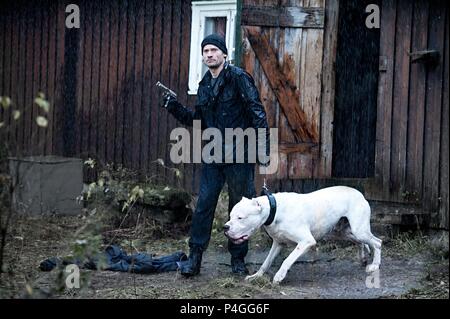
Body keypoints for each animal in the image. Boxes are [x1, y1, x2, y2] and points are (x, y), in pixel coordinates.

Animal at [223, 186, 382, 286]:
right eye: (230, 216)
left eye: (240, 218)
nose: (225, 227)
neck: (275, 210)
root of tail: (359, 193)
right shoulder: (278, 243)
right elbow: (266, 262)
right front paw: (256, 276)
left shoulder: (306, 241)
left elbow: (287, 260)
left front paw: (279, 276)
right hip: (344, 232)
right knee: (361, 242)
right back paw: (363, 258)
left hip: (359, 230)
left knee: (377, 242)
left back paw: (374, 265)